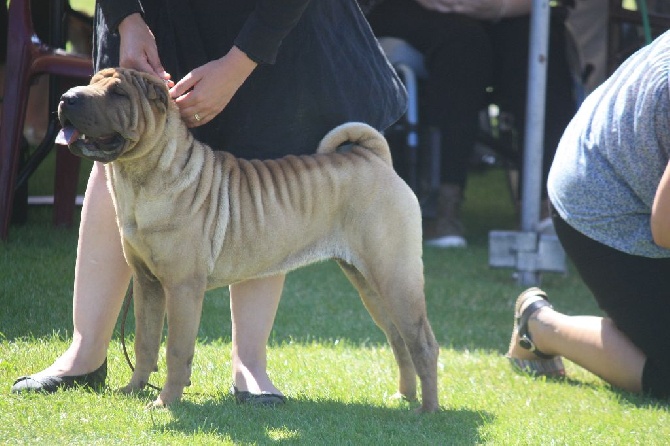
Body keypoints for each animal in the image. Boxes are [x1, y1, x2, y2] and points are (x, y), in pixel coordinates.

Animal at [56, 68, 440, 412]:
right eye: (92, 82)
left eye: (119, 93)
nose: (66, 97)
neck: (140, 179)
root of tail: (374, 158)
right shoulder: (147, 283)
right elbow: (145, 342)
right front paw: (133, 390)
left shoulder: (182, 288)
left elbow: (176, 350)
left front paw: (165, 402)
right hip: (368, 282)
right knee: (399, 338)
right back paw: (404, 397)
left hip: (394, 276)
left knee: (423, 343)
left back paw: (428, 411)